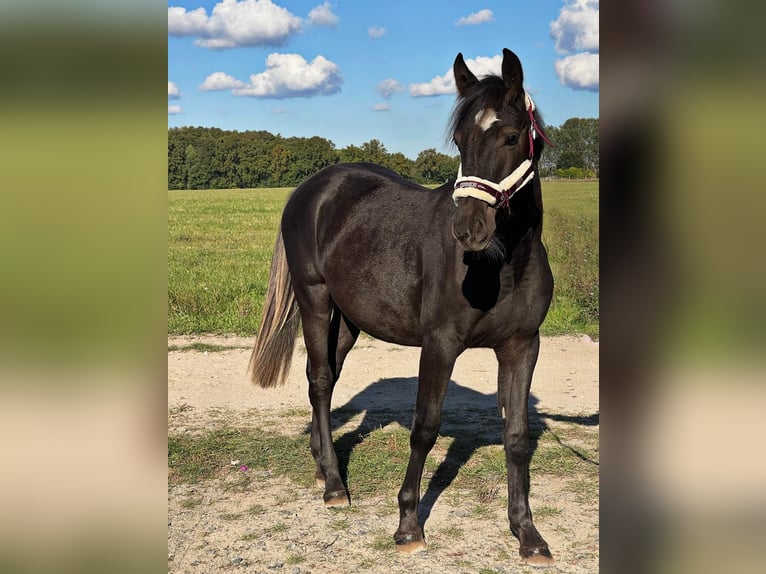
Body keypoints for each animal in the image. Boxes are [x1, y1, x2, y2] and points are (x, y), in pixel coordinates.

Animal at [249, 48, 555, 566]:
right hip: (315, 299)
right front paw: (409, 523)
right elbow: (425, 428)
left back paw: (321, 461)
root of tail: (310, 188)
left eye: (512, 137)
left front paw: (527, 533)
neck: (503, 263)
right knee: (320, 380)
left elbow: (516, 435)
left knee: (324, 380)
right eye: (459, 139)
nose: (467, 229)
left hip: (350, 320)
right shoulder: (440, 344)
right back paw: (335, 485)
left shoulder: (522, 346)